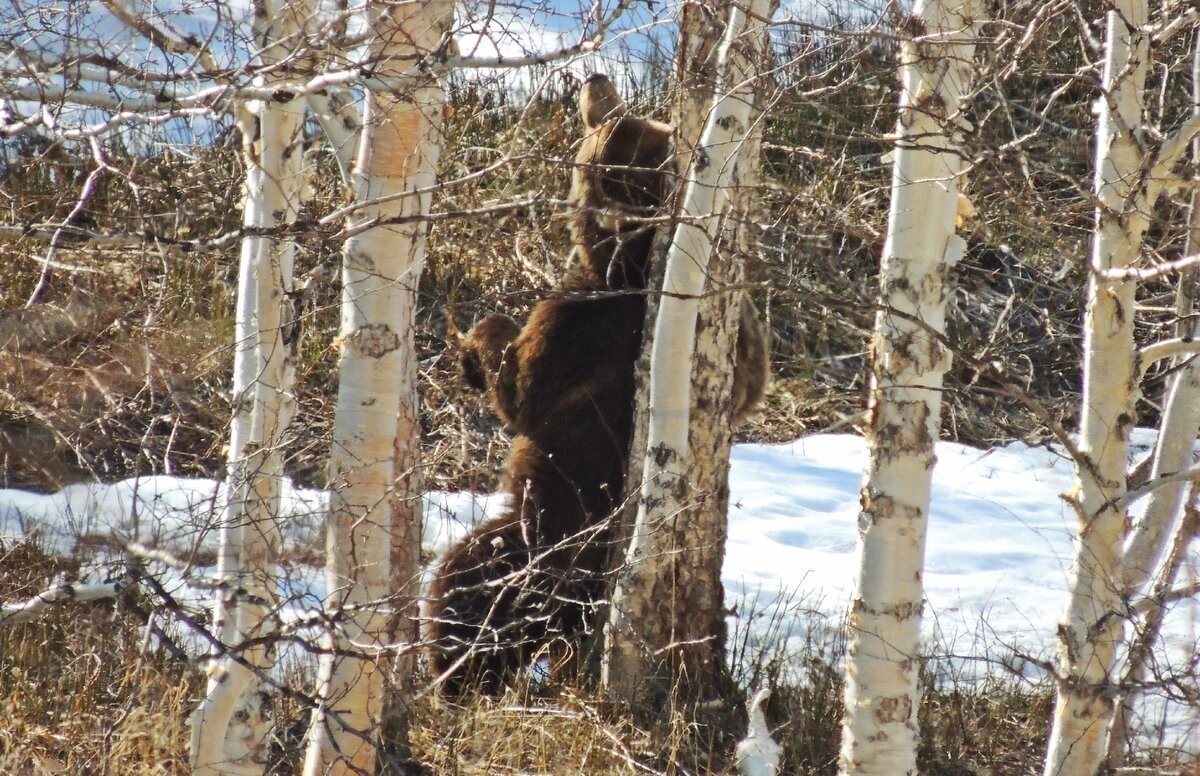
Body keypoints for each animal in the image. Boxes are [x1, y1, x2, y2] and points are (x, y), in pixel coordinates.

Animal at [429, 74, 768, 690]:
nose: (596, 80)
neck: (628, 267)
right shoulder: (739, 341)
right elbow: (750, 382)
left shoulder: (576, 328)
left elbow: (522, 392)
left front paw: (479, 345)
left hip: (540, 537)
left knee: (466, 583)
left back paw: (455, 675)